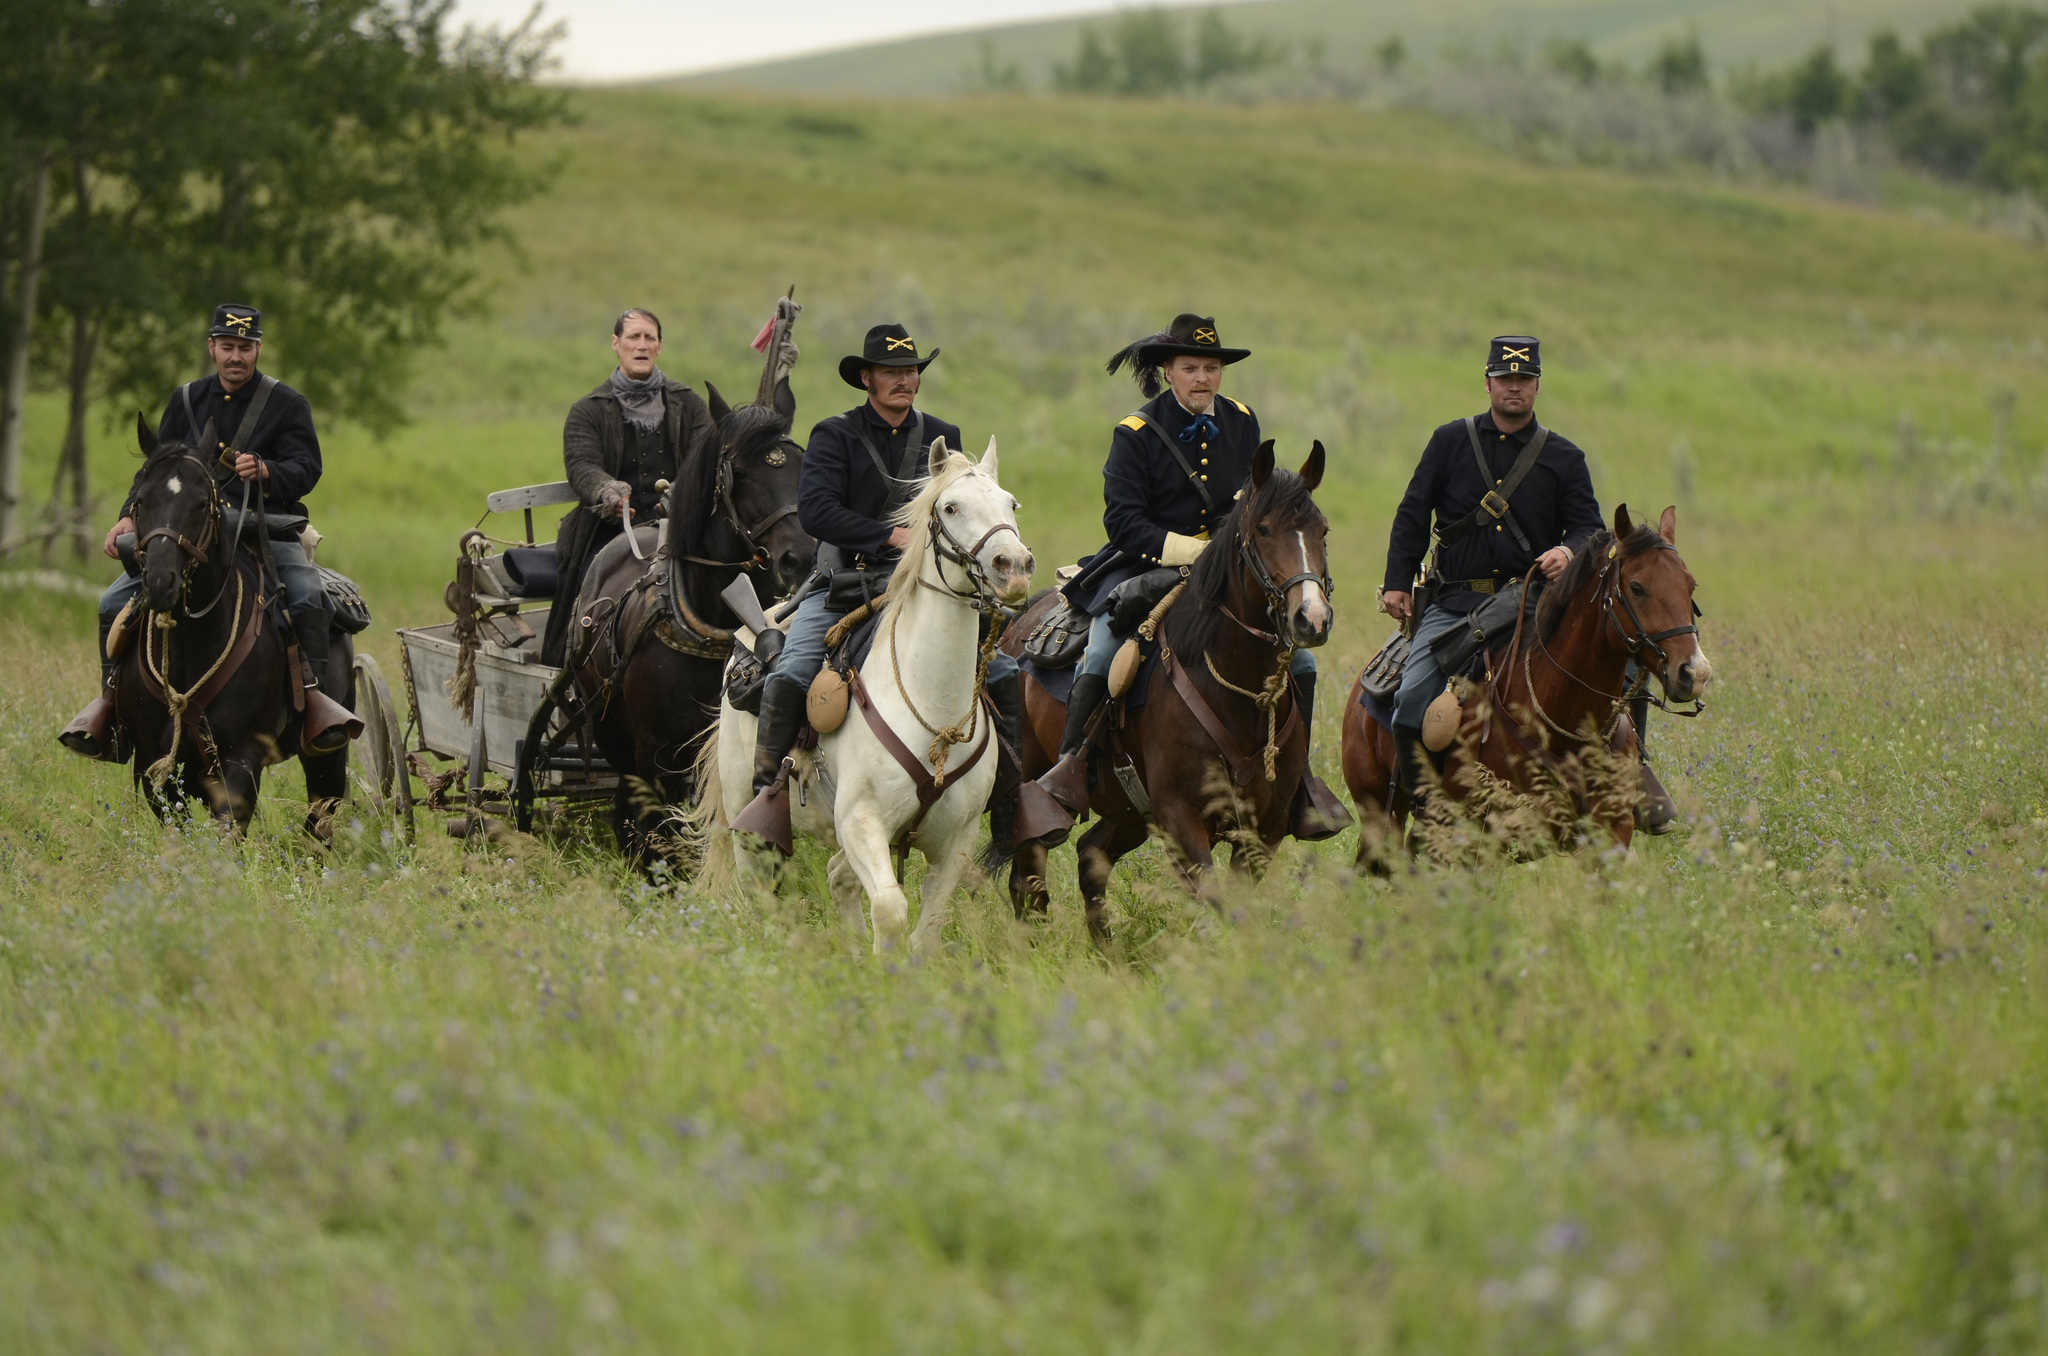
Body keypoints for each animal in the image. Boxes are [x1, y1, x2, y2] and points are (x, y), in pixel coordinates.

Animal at [114, 417, 360, 839]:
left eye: (201, 503)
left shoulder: (241, 760)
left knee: (321, 818)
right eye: (141, 500)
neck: (190, 648)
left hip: (326, 755)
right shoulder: (153, 766)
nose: (161, 583)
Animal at [700, 438, 1032, 954]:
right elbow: (891, 909)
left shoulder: (955, 843)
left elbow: (925, 929)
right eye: (950, 507)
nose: (1014, 568)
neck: (932, 707)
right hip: (746, 817)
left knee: (838, 877)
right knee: (759, 885)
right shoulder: (861, 823)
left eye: (1010, 504)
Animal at [1343, 501, 1712, 872]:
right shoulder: (1485, 839)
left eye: (1691, 586)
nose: (1694, 673)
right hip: (1384, 813)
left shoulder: (1610, 836)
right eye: (1636, 587)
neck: (1564, 718)